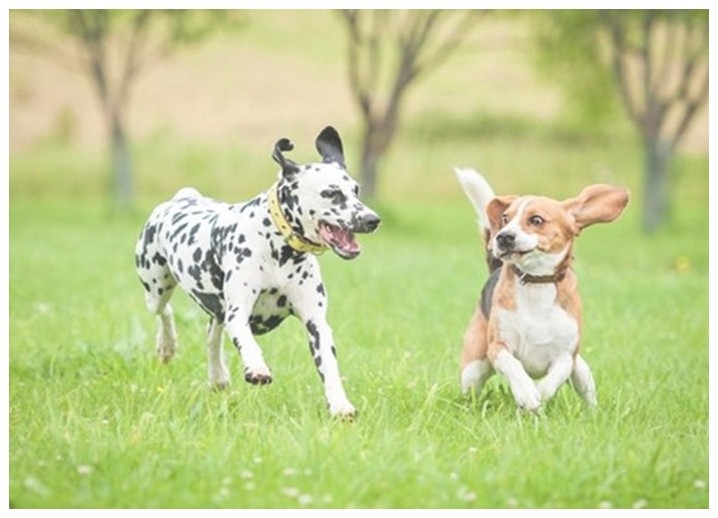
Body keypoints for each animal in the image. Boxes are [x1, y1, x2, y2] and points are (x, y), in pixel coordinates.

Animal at [458, 169, 628, 412]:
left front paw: (538, 394)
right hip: (473, 368)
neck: (536, 282)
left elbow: (555, 377)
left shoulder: (566, 355)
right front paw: (527, 393)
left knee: (585, 388)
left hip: (581, 369)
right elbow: (513, 365)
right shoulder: (498, 347)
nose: (503, 236)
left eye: (536, 220)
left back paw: (592, 412)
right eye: (505, 218)